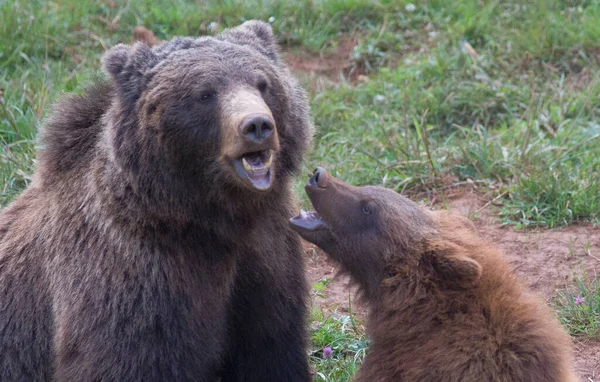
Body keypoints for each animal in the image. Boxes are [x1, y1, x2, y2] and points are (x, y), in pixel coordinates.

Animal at [0, 20, 310, 382]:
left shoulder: (267, 257)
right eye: (205, 93)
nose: (257, 125)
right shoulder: (134, 279)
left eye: (263, 84)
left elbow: (270, 345)